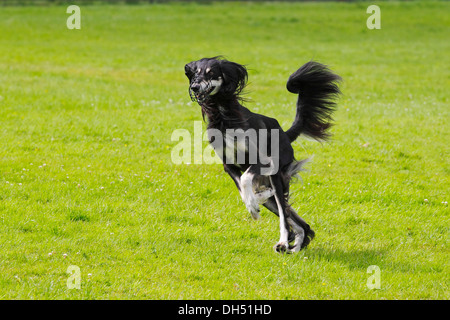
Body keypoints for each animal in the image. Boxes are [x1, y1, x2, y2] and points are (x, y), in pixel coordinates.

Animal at [184, 57, 342, 252]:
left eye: (211, 73)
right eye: (195, 73)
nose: (194, 87)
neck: (223, 115)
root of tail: (284, 134)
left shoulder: (263, 161)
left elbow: (246, 180)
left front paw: (254, 204)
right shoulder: (229, 166)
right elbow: (243, 190)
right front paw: (252, 203)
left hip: (276, 174)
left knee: (284, 213)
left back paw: (284, 241)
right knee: (300, 223)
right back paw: (294, 245)